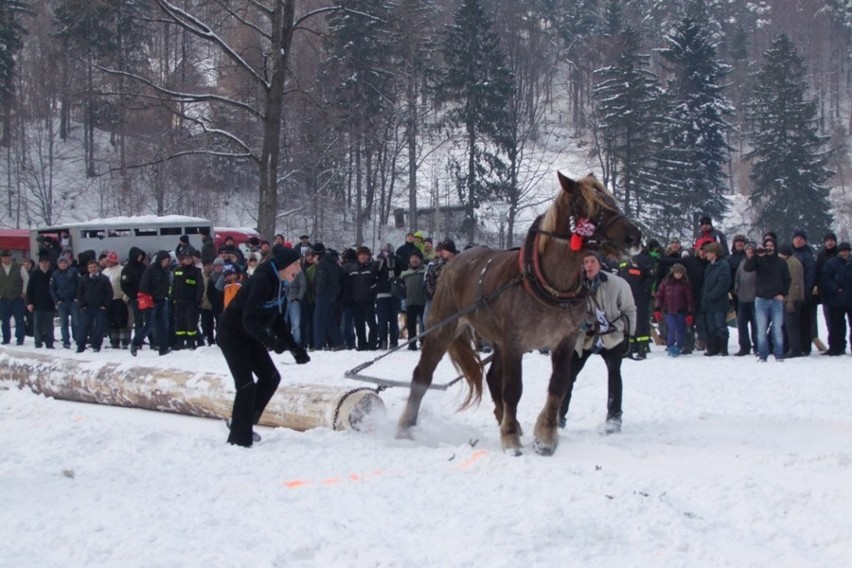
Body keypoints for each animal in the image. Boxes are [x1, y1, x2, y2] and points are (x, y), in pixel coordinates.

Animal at [396, 171, 644, 454]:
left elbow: (558, 385)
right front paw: (511, 439)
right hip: (444, 327)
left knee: (492, 378)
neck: (548, 285)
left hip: (496, 340)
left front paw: (545, 437)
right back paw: (406, 427)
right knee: (423, 375)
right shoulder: (515, 342)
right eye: (588, 205)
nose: (634, 237)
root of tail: (451, 263)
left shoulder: (565, 341)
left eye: (611, 200)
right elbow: (514, 389)